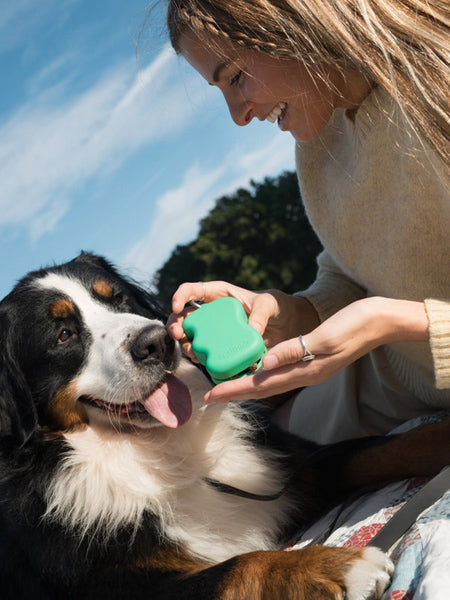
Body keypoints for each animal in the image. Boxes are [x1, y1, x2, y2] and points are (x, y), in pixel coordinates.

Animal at [0, 253, 450, 600]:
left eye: (119, 299)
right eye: (63, 335)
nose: (156, 341)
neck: (166, 453)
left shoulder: (287, 466)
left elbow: (379, 449)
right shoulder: (114, 585)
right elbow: (239, 566)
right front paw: (335, 566)